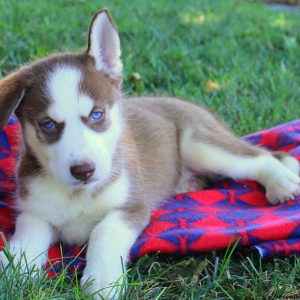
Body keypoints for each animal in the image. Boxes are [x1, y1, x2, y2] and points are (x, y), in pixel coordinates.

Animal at [0, 8, 300, 298]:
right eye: (48, 124)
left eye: (97, 114)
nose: (84, 170)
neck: (78, 195)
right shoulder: (33, 212)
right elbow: (26, 242)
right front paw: (12, 272)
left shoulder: (132, 205)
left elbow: (104, 232)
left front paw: (102, 282)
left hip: (200, 143)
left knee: (259, 155)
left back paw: (281, 181)